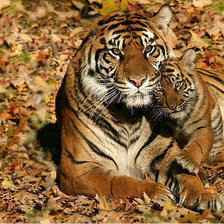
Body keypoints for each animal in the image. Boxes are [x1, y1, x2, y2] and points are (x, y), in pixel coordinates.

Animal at [55, 5, 222, 212]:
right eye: (116, 52)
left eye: (149, 49)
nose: (138, 80)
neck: (127, 115)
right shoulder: (77, 168)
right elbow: (119, 182)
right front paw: (157, 191)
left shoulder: (165, 154)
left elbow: (186, 175)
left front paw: (204, 195)